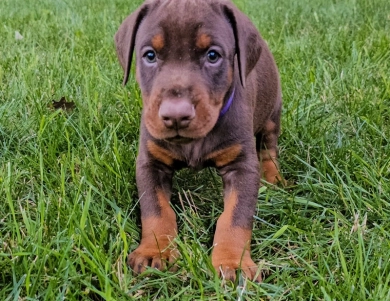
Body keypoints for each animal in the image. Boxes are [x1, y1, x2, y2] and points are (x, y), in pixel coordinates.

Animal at [114, 0, 282, 282]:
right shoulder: (150, 162)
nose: (176, 115)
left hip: (272, 112)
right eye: (150, 55)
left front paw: (233, 263)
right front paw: (155, 251)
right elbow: (156, 209)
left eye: (212, 56)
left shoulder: (242, 166)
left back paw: (274, 178)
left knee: (269, 147)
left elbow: (235, 216)